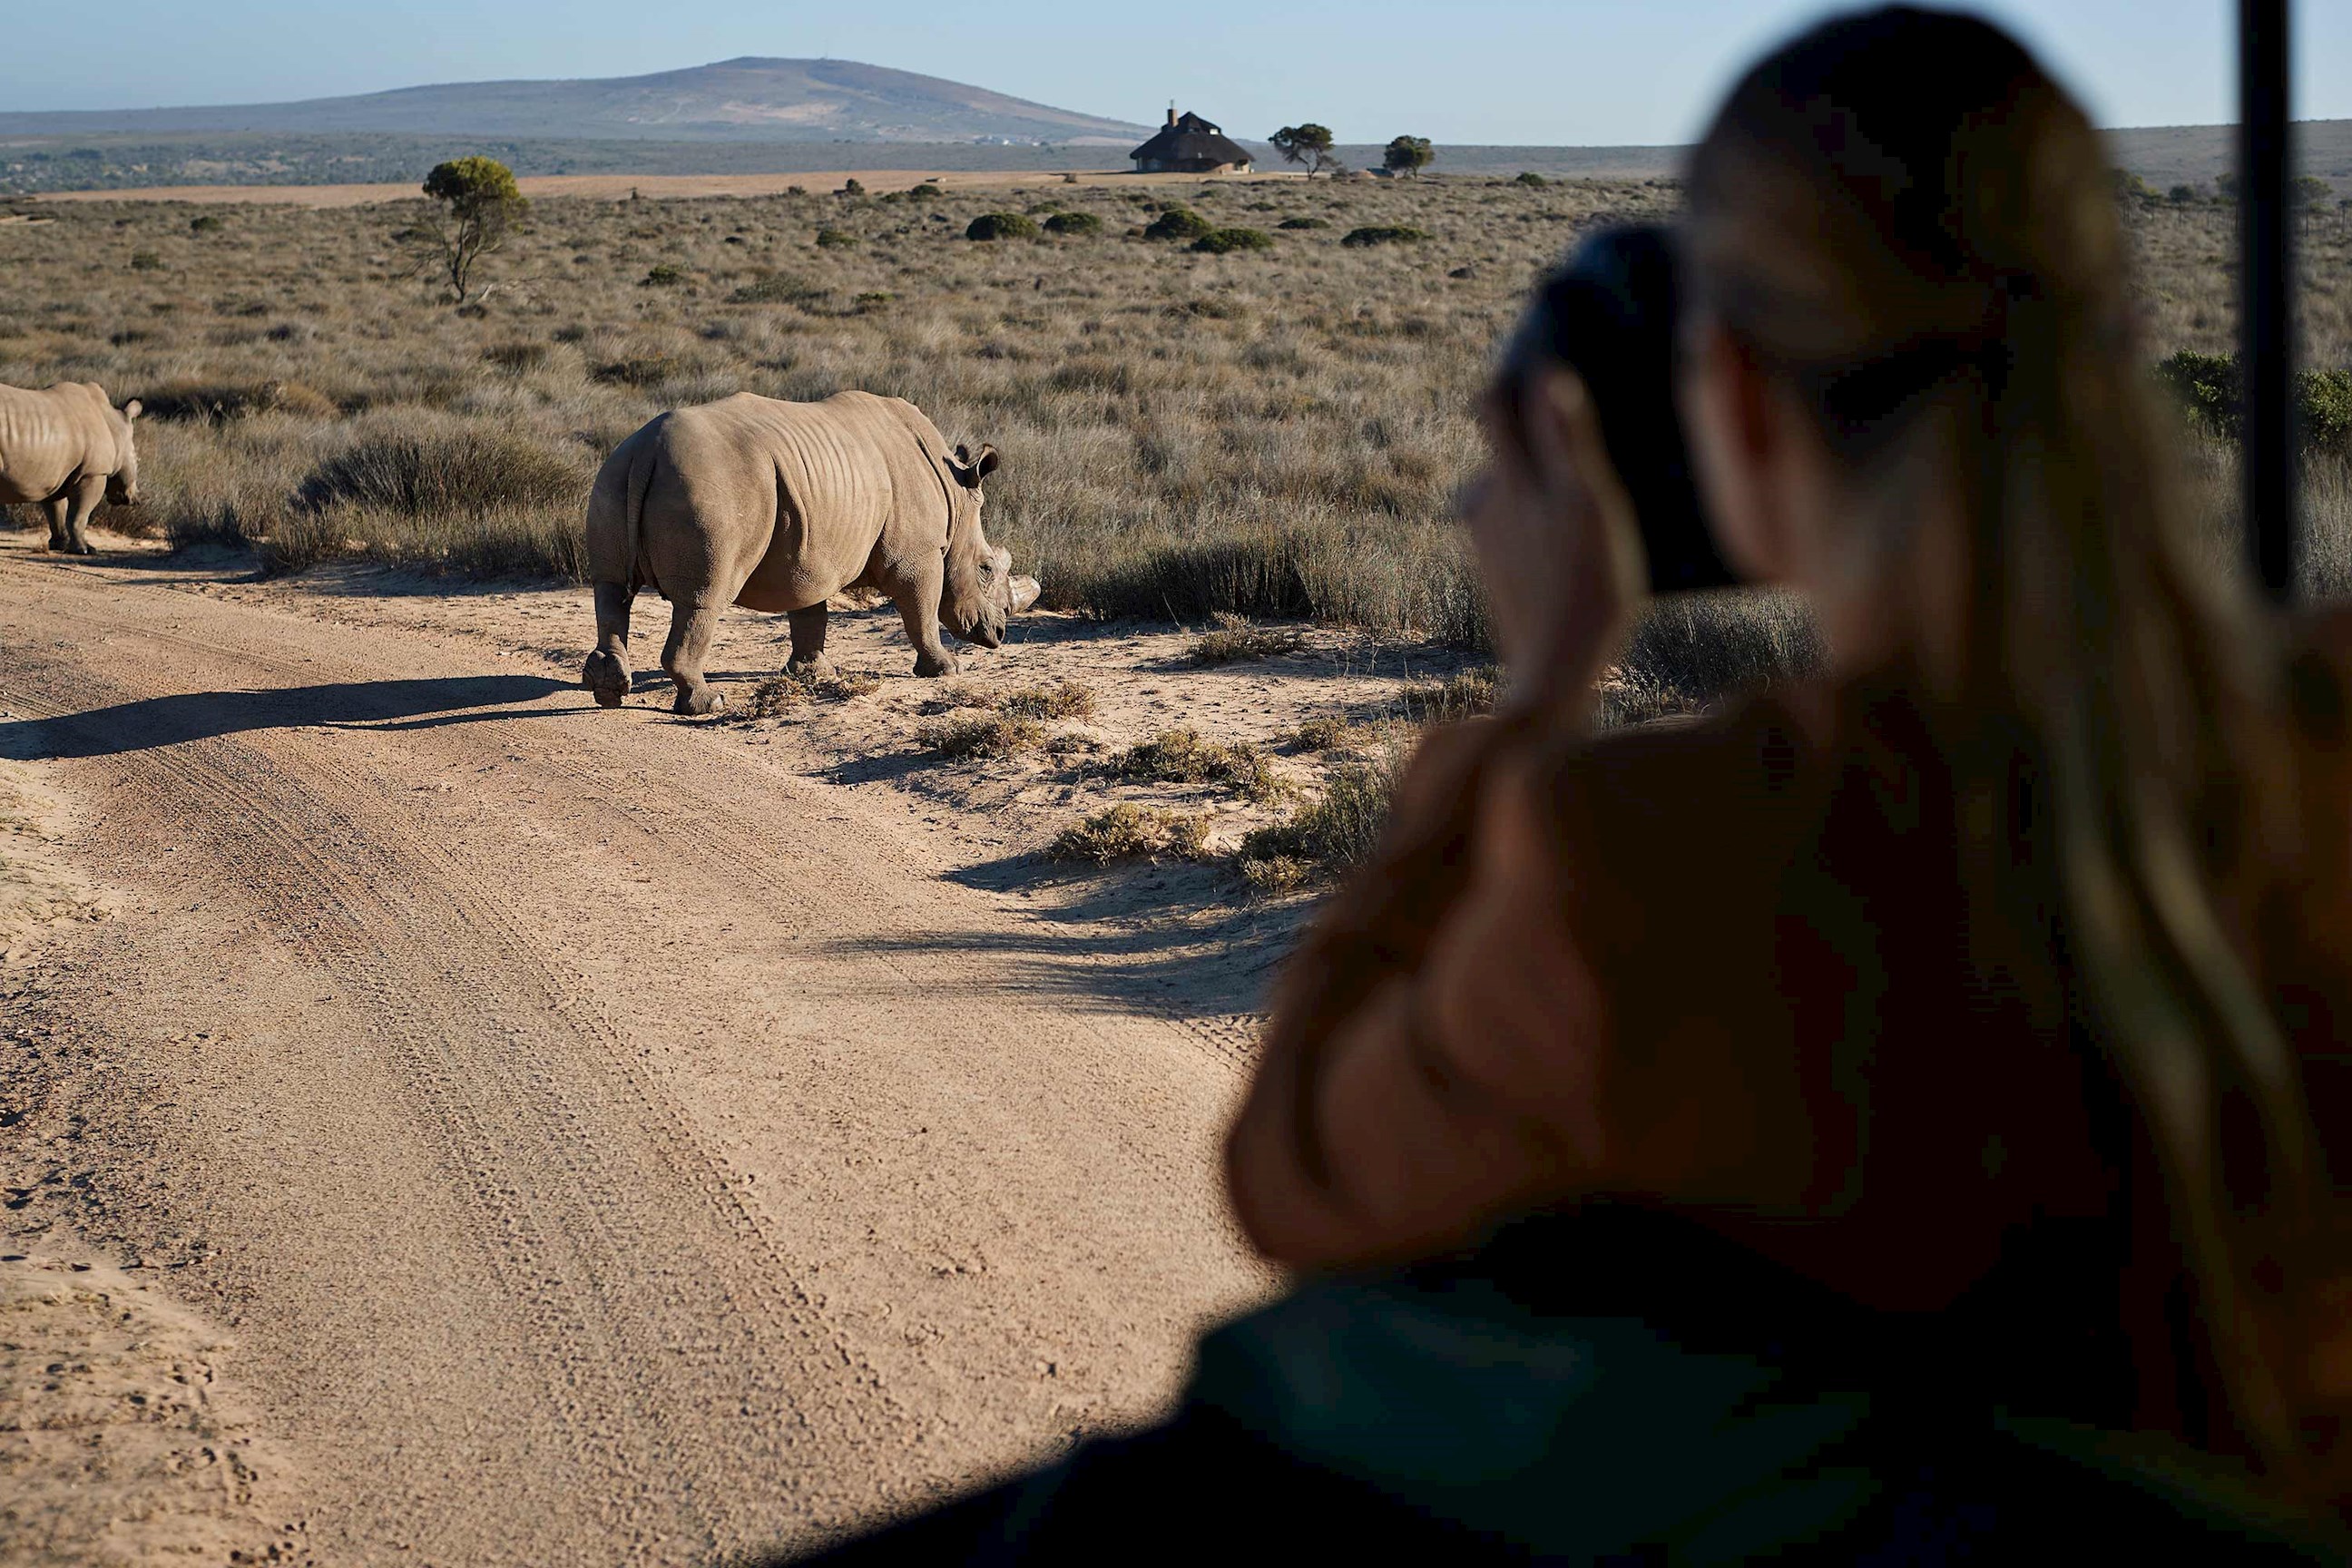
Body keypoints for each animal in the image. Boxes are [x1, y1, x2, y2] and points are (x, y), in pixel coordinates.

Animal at [0, 382, 142, 555]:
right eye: (136, 460)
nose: (135, 500)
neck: (114, 427)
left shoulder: (54, 475)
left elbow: (56, 512)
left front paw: (60, 545)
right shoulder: (92, 473)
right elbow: (79, 514)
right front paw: (86, 550)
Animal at [582, 390, 1039, 715]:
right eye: (986, 568)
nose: (999, 634)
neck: (956, 497)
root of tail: (648, 450)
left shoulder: (810, 549)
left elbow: (808, 608)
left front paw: (813, 674)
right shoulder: (918, 554)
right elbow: (921, 610)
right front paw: (947, 669)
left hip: (614, 473)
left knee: (610, 588)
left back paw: (608, 690)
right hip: (709, 488)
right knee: (702, 599)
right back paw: (706, 704)